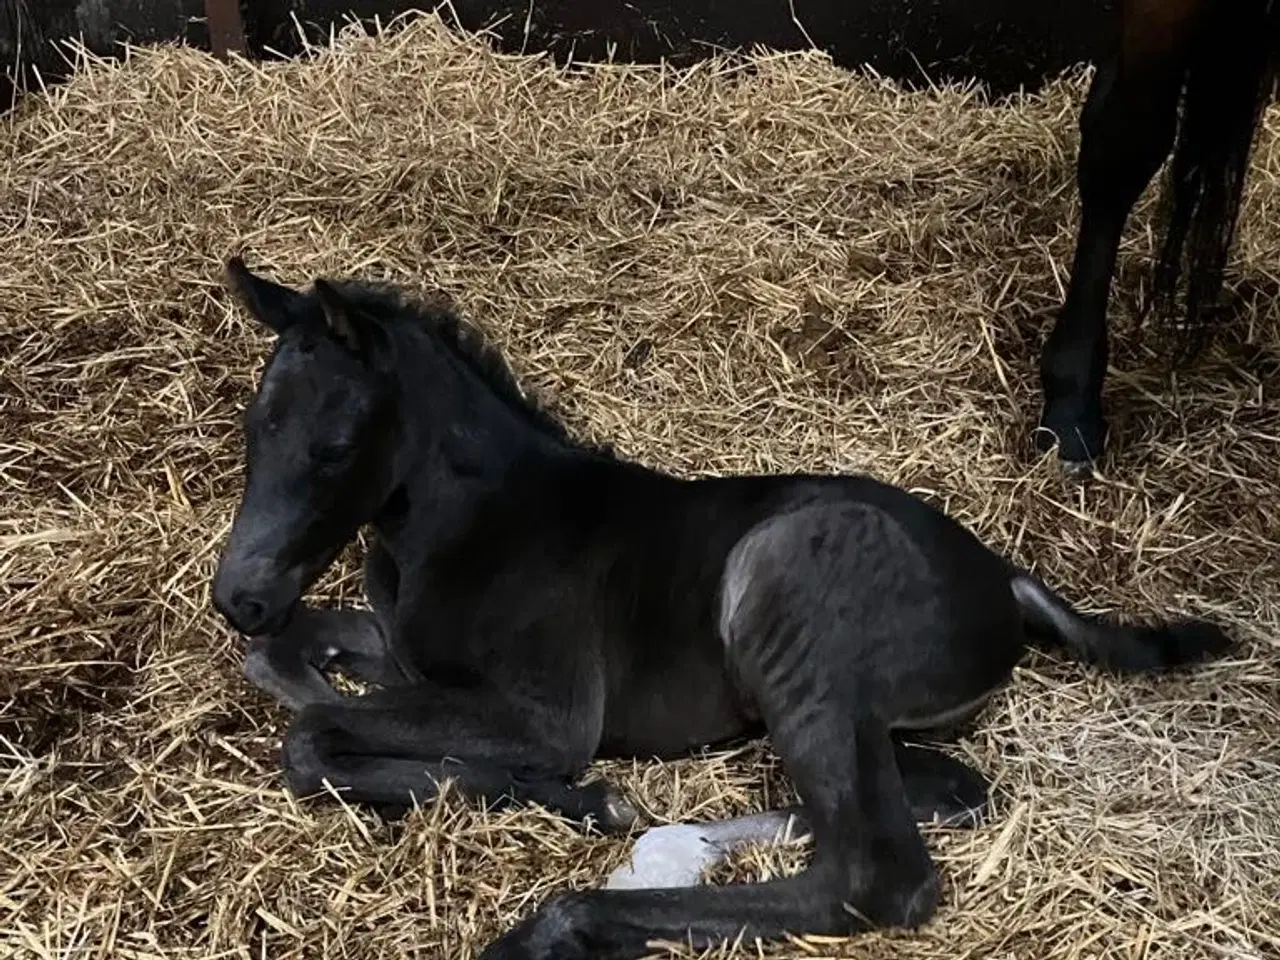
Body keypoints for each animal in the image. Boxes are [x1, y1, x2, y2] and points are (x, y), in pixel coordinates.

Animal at [215, 259, 1233, 957]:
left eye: (335, 446)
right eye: (254, 425)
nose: (239, 597)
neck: (468, 522)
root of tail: (1000, 576)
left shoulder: (546, 712)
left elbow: (312, 738)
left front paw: (575, 794)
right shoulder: (401, 651)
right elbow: (298, 675)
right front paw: (578, 800)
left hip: (780, 592)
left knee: (874, 876)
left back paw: (563, 923)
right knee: (940, 793)